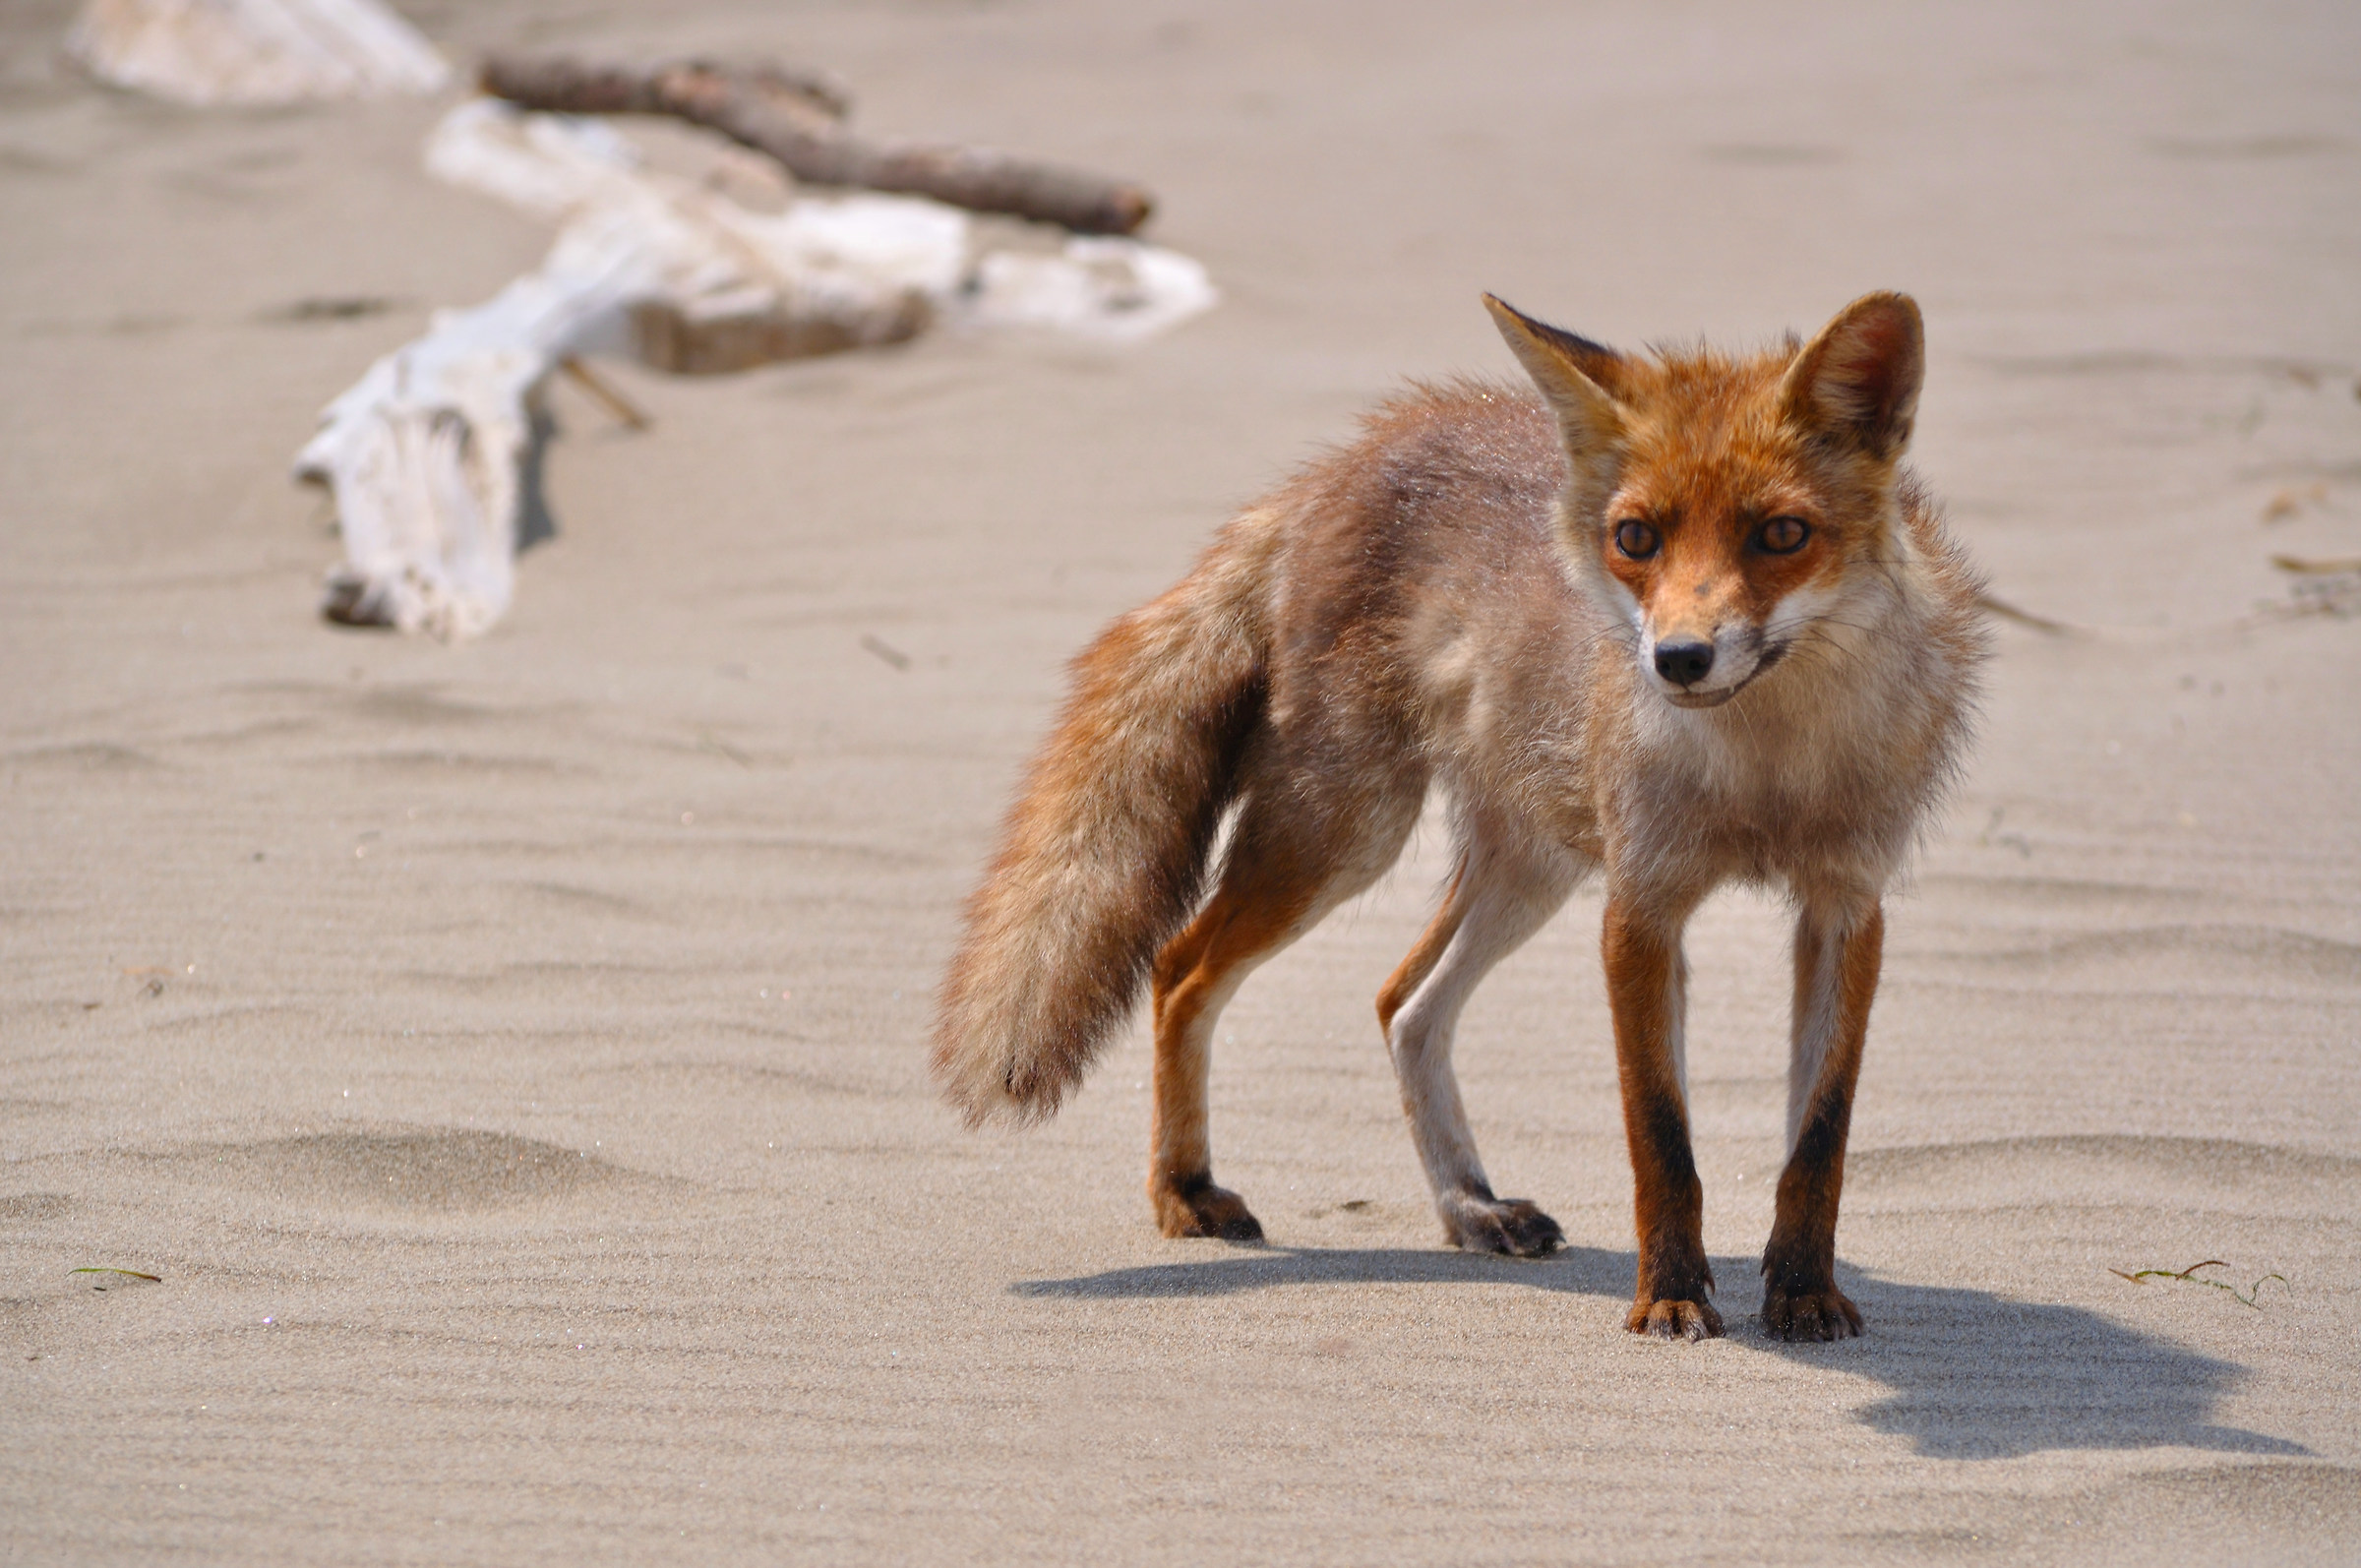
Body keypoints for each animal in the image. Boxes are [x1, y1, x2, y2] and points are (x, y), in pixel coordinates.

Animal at [933, 291, 1986, 1341]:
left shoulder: (1845, 907)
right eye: (1636, 539)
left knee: (1404, 1002)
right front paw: (1672, 1293)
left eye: (1781, 535)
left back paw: (1468, 1207)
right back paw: (1186, 1189)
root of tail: (1345, 463)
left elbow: (1820, 1138)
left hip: (1528, 868)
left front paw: (1803, 1289)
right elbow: (1661, 1137)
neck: (1767, 774)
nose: (1678, 659)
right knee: (1182, 970)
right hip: (1347, 833)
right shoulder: (1641, 907)